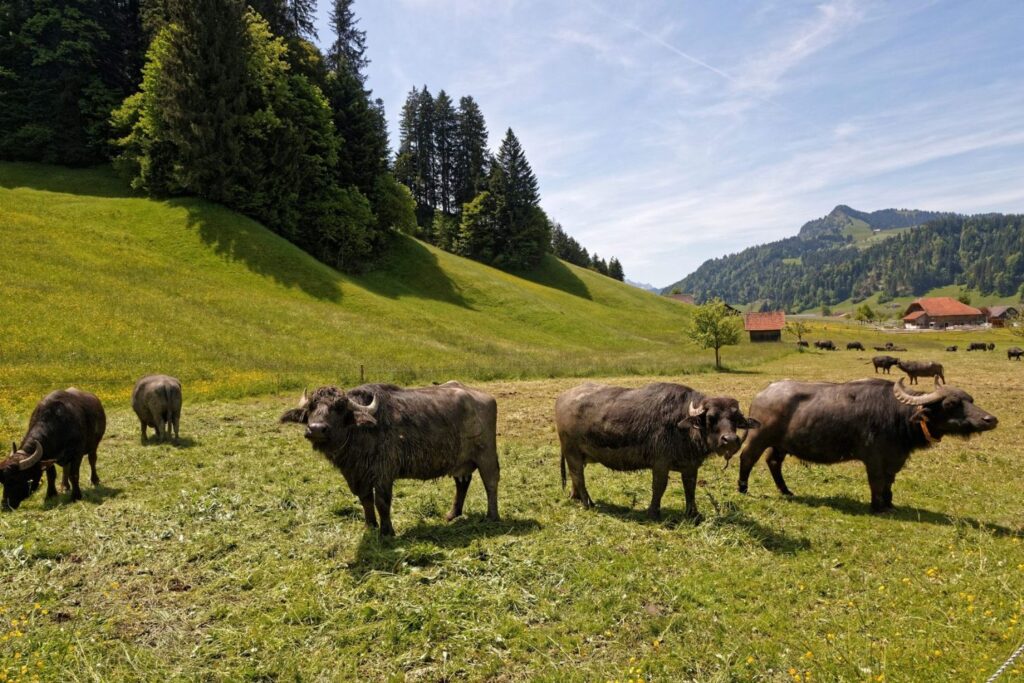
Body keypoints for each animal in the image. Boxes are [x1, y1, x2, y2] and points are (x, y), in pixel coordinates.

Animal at [282, 382, 497, 536]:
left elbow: (382, 502)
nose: (317, 429)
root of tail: (483, 396)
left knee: (491, 483)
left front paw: (387, 532)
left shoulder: (384, 474)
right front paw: (370, 526)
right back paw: (453, 514)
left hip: (487, 455)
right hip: (460, 461)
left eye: (340, 407)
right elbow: (366, 500)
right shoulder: (358, 476)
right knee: (462, 483)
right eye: (311, 407)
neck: (361, 434)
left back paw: (492, 516)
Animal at [552, 382, 761, 520]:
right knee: (578, 476)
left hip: (578, 456)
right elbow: (659, 487)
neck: (682, 426)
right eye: (711, 417)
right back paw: (588, 502)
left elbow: (690, 488)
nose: (730, 440)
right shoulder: (660, 463)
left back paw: (575, 497)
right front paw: (653, 512)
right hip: (572, 451)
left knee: (575, 476)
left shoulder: (690, 466)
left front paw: (693, 513)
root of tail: (562, 397)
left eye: (735, 419)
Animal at [741, 378, 995, 511]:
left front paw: (889, 503)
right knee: (748, 458)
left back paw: (786, 490)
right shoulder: (873, 459)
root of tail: (762, 394)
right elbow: (876, 482)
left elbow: (889, 482)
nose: (990, 419)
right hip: (759, 438)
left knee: (773, 462)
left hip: (780, 445)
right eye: (951, 404)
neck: (897, 415)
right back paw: (742, 488)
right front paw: (876, 505)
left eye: (970, 399)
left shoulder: (894, 459)